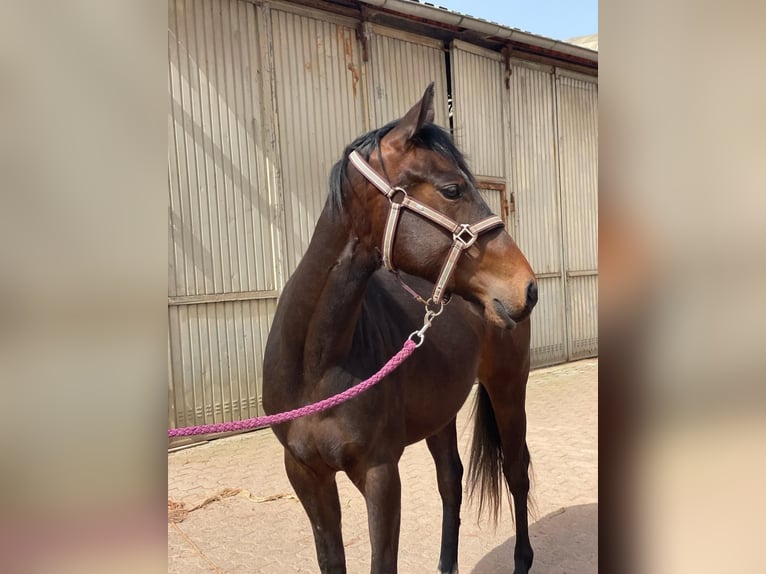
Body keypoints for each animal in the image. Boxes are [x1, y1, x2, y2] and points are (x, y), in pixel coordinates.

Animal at [264, 82, 540, 574]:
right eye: (452, 188)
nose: (526, 288)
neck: (316, 364)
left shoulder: (379, 473)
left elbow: (382, 561)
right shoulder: (306, 475)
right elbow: (332, 560)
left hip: (508, 387)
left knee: (516, 471)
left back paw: (522, 560)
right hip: (441, 410)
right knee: (451, 480)